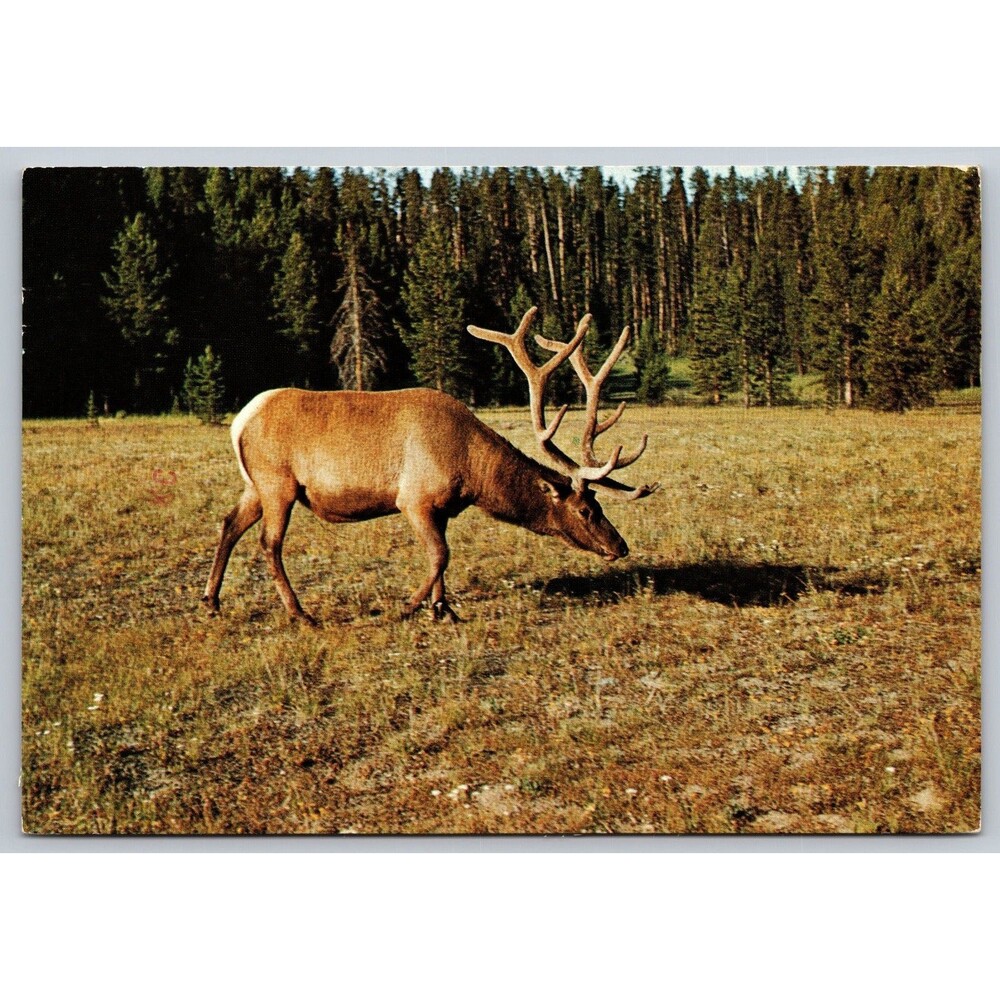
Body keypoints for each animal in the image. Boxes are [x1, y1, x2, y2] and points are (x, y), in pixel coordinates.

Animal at [202, 306, 658, 625]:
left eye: (600, 505)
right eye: (585, 510)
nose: (620, 546)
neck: (472, 470)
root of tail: (240, 421)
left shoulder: (443, 508)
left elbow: (442, 556)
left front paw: (443, 608)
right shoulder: (414, 499)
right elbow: (441, 555)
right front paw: (409, 607)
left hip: (255, 485)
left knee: (229, 524)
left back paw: (211, 601)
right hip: (278, 483)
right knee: (269, 543)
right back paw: (300, 613)